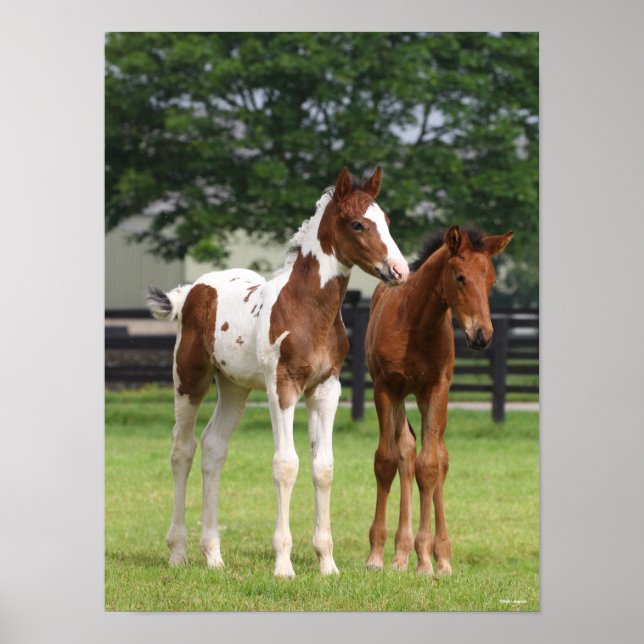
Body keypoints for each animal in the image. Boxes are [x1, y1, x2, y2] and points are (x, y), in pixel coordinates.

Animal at [145, 167, 409, 578]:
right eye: (357, 224)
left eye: (387, 221)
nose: (400, 270)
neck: (308, 309)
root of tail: (193, 290)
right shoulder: (282, 386)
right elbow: (286, 465)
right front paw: (284, 565)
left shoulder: (326, 389)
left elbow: (323, 467)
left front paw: (327, 564)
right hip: (189, 379)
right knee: (182, 450)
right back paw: (178, 552)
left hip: (234, 388)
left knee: (213, 448)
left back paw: (213, 555)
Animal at [364, 225, 512, 574]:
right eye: (459, 277)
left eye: (491, 279)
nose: (482, 335)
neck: (415, 324)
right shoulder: (385, 388)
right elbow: (387, 460)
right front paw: (376, 555)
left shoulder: (436, 389)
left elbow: (430, 466)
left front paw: (426, 560)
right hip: (402, 396)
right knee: (405, 451)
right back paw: (399, 554)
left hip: (424, 398)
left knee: (438, 457)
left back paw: (439, 556)